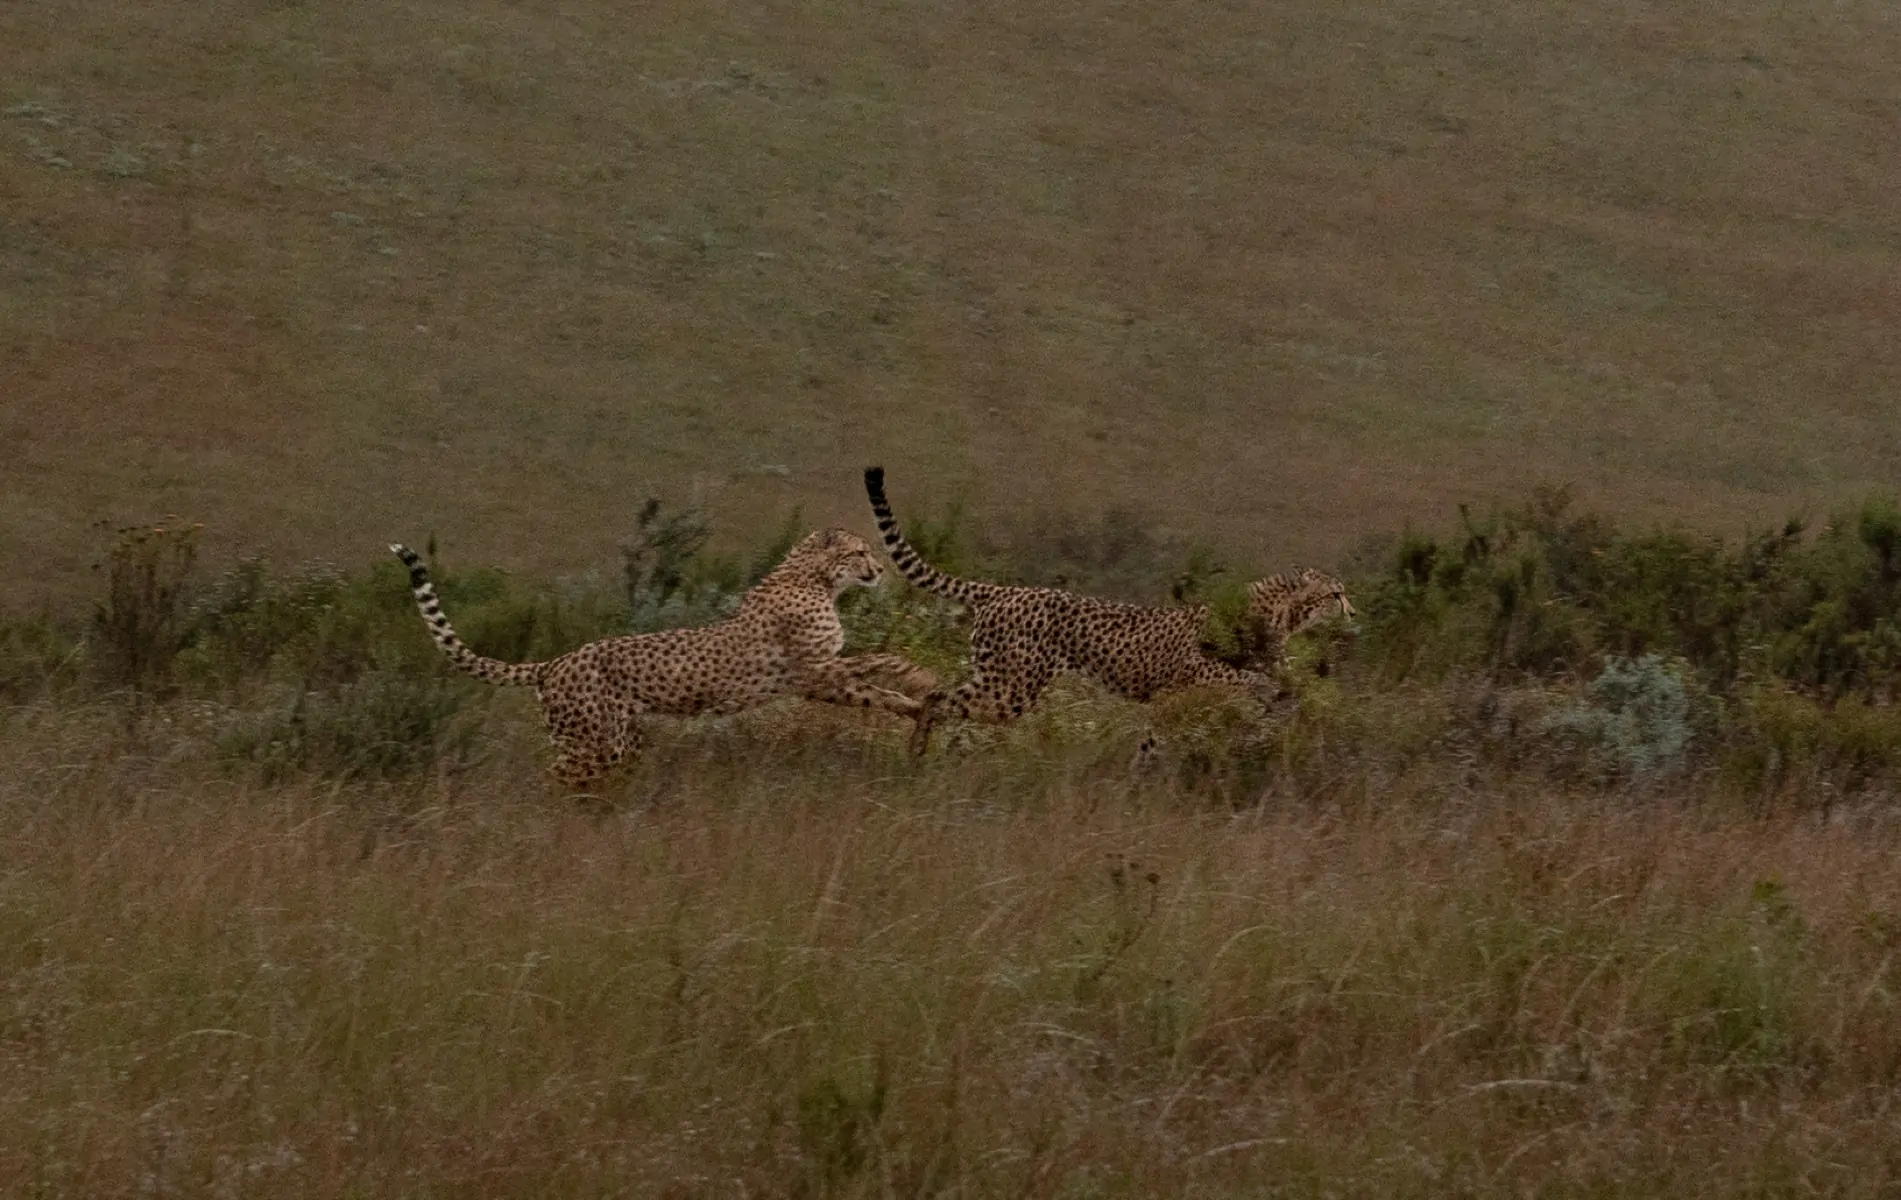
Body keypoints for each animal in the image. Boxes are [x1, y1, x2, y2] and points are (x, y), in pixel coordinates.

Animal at [391, 532, 935, 787]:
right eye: (859, 551)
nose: (878, 570)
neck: (814, 578)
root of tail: (554, 661)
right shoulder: (810, 671)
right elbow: (878, 660)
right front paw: (920, 678)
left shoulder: (814, 681)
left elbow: (872, 690)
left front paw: (914, 709)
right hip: (591, 745)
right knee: (553, 780)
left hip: (618, 741)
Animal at [863, 467, 1353, 756]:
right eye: (1336, 593)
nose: (1351, 611)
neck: (1283, 610)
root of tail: (1007, 590)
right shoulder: (1188, 670)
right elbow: (1240, 676)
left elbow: (1284, 690)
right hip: (1012, 687)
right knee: (938, 698)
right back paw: (918, 750)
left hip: (997, 676)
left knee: (939, 695)